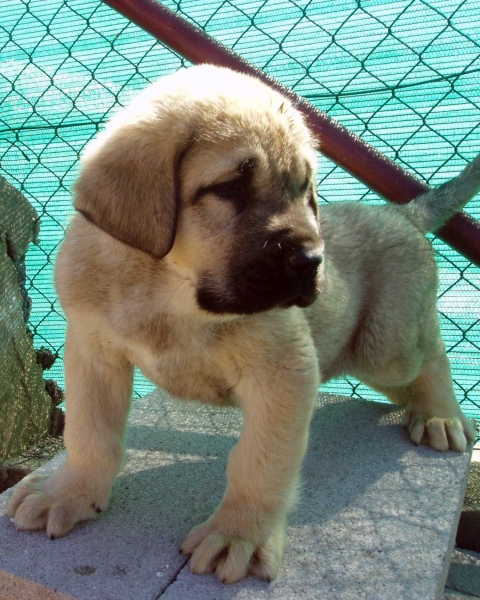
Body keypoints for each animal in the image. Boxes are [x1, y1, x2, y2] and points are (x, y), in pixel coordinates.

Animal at [6, 64, 476, 580]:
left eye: (304, 191)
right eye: (231, 188)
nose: (313, 261)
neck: (167, 288)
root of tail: (401, 212)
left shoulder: (284, 373)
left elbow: (260, 463)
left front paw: (240, 534)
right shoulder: (94, 351)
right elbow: (90, 433)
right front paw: (69, 492)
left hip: (385, 348)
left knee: (431, 355)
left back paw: (440, 414)